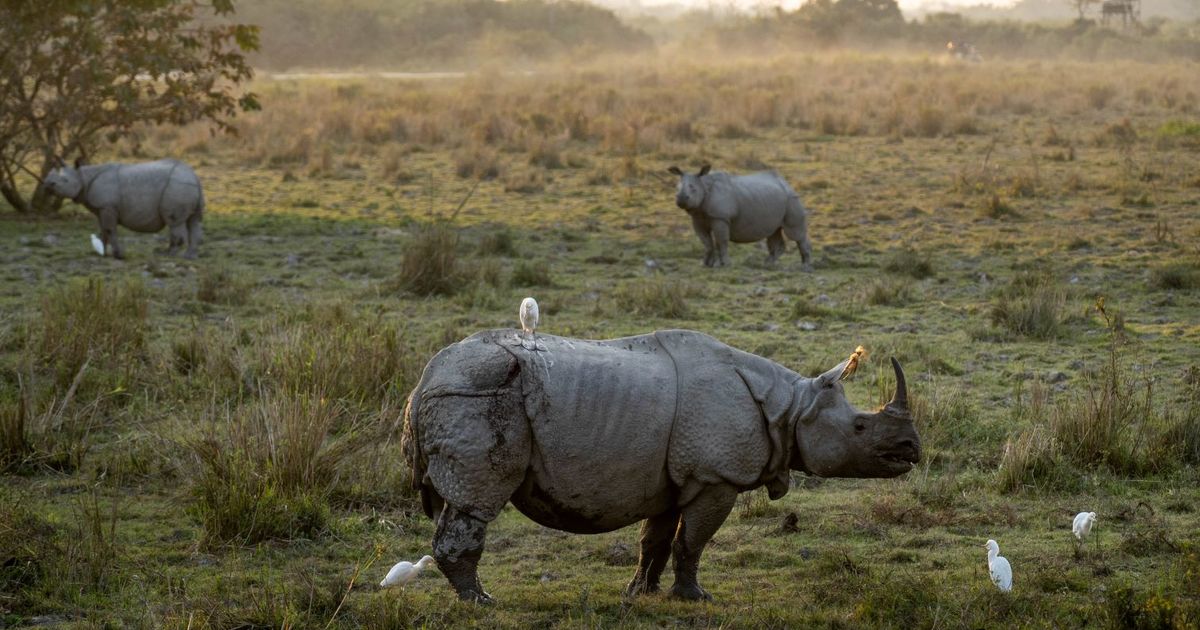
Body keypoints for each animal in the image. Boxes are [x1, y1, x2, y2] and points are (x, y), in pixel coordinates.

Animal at [42, 158, 205, 259]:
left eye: (64, 181)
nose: (47, 184)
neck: (83, 176)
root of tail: (194, 176)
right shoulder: (101, 208)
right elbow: (103, 230)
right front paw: (102, 253)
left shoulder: (108, 206)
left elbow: (109, 229)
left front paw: (119, 255)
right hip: (186, 185)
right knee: (194, 221)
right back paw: (190, 257)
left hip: (176, 186)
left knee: (174, 222)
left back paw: (168, 255)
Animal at [402, 329, 920, 603]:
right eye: (859, 427)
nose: (912, 448)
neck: (790, 408)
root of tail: (424, 379)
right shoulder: (715, 477)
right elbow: (692, 541)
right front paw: (695, 598)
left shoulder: (674, 478)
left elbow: (656, 539)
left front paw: (642, 593)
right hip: (478, 394)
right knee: (475, 503)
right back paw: (482, 602)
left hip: (464, 392)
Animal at [669, 164, 812, 269]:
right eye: (676, 189)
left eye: (693, 189)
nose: (681, 199)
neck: (704, 185)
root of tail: (786, 183)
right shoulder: (697, 219)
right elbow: (706, 242)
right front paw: (704, 264)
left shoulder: (720, 218)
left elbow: (721, 241)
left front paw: (723, 265)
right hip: (776, 199)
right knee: (773, 232)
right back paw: (767, 264)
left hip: (791, 199)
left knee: (795, 233)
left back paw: (805, 267)